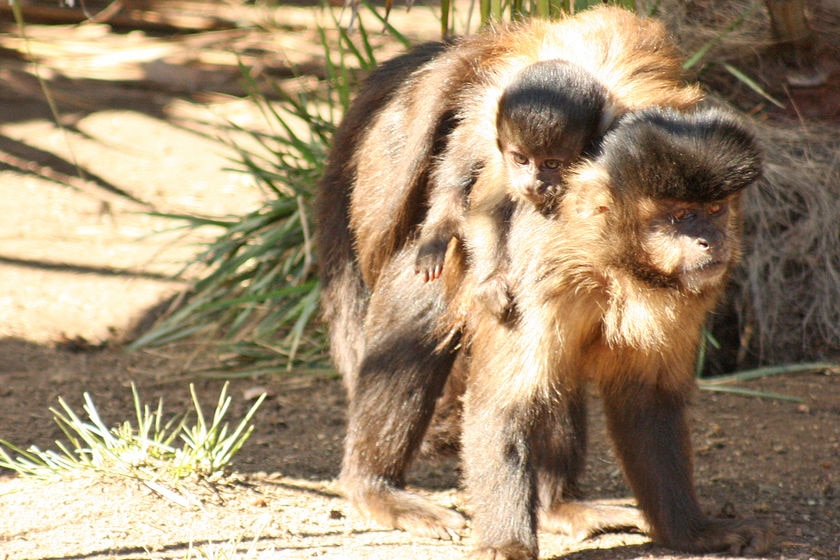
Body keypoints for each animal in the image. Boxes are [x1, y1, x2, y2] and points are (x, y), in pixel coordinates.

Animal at [414, 60, 612, 320]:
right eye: (520, 159)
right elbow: (486, 212)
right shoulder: (504, 168)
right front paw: (491, 280)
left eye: (552, 164)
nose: (531, 184)